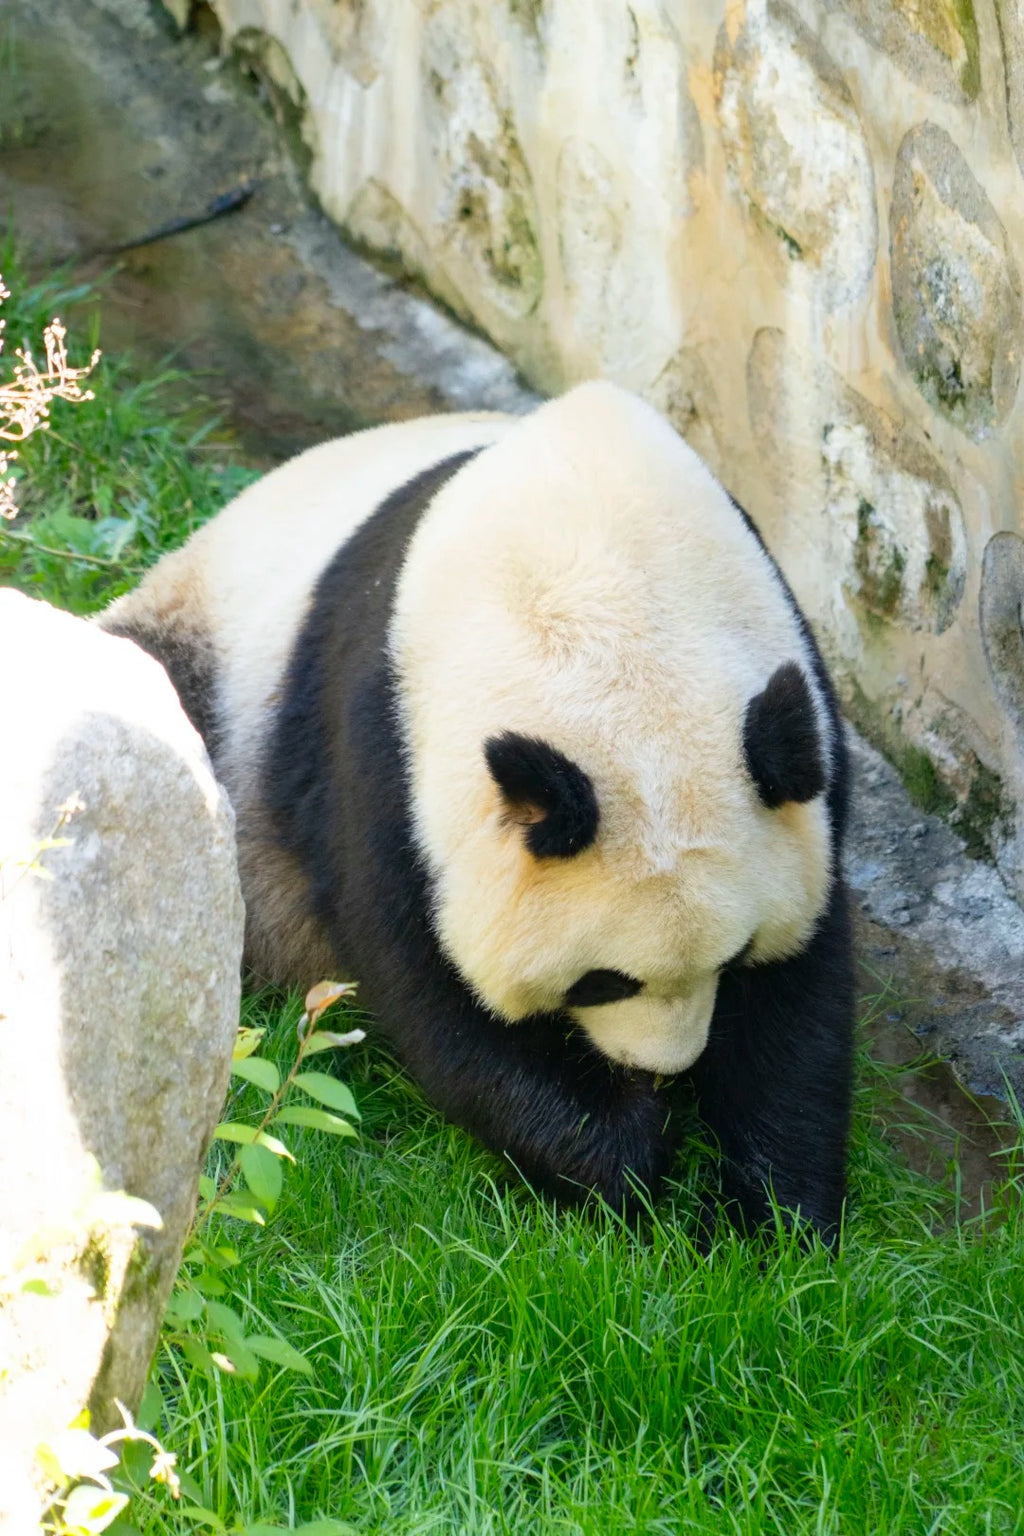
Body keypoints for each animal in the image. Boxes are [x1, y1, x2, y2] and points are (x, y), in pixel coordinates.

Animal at [99, 382, 854, 1237]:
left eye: (734, 956)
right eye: (600, 983)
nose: (663, 1067)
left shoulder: (801, 721)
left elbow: (802, 992)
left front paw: (770, 1218)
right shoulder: (378, 732)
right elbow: (427, 979)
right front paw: (627, 1158)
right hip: (209, 654)